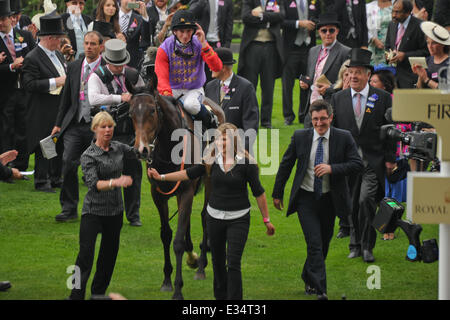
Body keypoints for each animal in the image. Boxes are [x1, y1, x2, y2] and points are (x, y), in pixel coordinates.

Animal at [126, 80, 225, 300]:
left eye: (152, 110)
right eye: (130, 113)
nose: (141, 150)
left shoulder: (186, 190)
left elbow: (178, 240)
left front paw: (178, 288)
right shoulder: (157, 194)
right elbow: (166, 234)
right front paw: (166, 281)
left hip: (209, 180)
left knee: (205, 216)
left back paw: (201, 266)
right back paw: (193, 258)